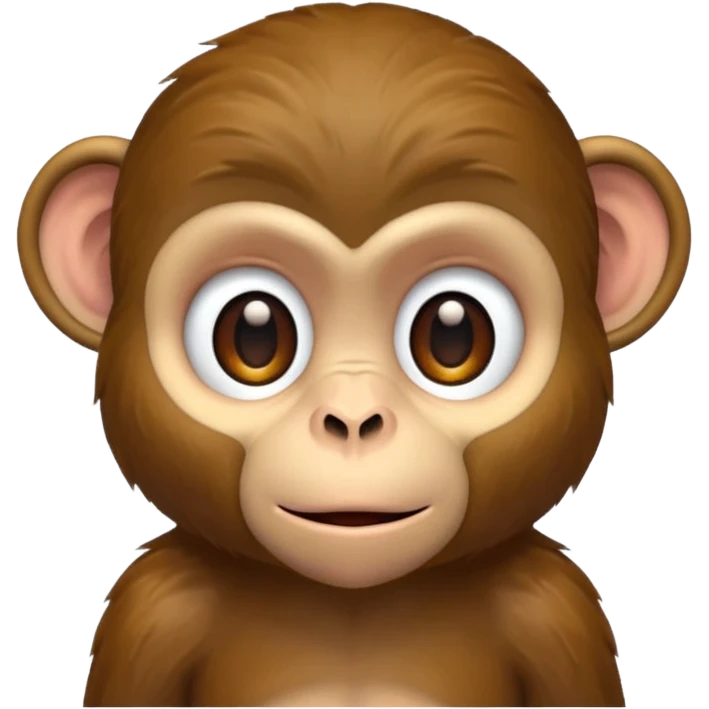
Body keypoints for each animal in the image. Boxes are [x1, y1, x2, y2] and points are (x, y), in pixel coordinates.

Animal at [16, 2, 692, 707]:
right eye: (254, 335)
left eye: (453, 334)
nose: (352, 418)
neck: (354, 603)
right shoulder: (155, 610)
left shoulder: (553, 611)